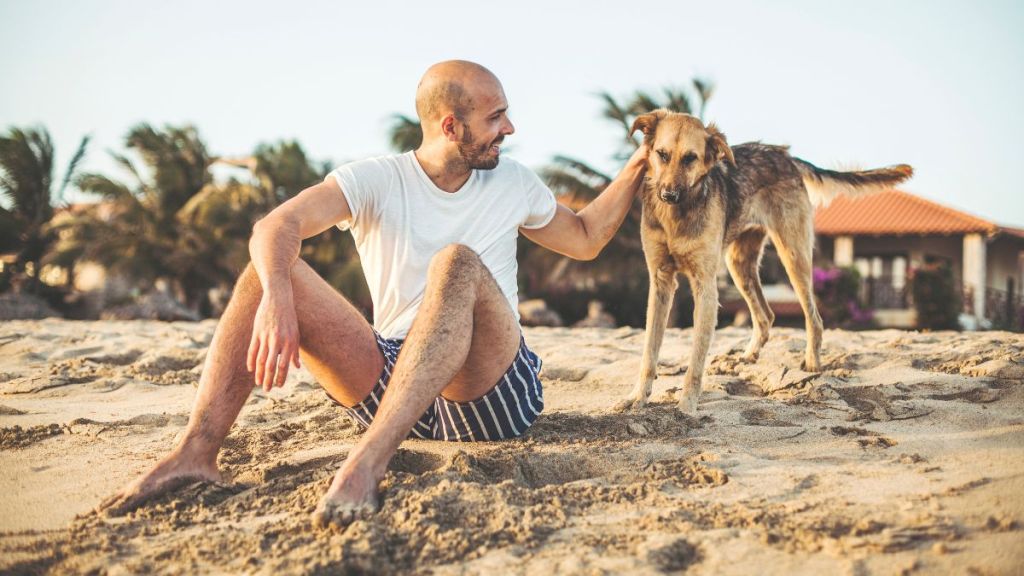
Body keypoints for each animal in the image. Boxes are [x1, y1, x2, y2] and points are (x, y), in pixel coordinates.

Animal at [614, 108, 913, 412]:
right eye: (662, 154)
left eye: (690, 158)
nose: (668, 195)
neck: (677, 215)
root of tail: (784, 155)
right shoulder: (661, 282)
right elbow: (649, 350)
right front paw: (638, 397)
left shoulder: (705, 287)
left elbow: (696, 358)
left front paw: (687, 405)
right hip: (739, 265)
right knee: (766, 316)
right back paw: (748, 356)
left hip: (793, 257)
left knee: (814, 318)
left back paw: (812, 363)